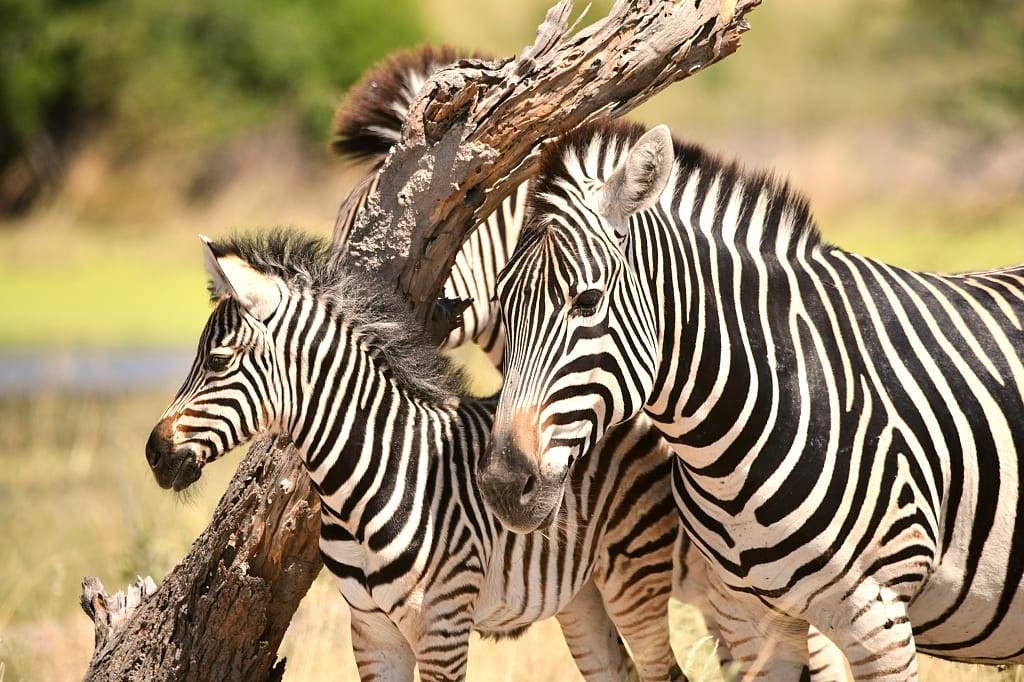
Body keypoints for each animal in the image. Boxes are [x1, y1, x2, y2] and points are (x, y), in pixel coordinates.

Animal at [144, 230, 683, 681]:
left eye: (217, 361)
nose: (153, 453)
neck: (368, 482)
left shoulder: (442, 624)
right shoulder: (370, 631)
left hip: (635, 571)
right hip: (579, 593)